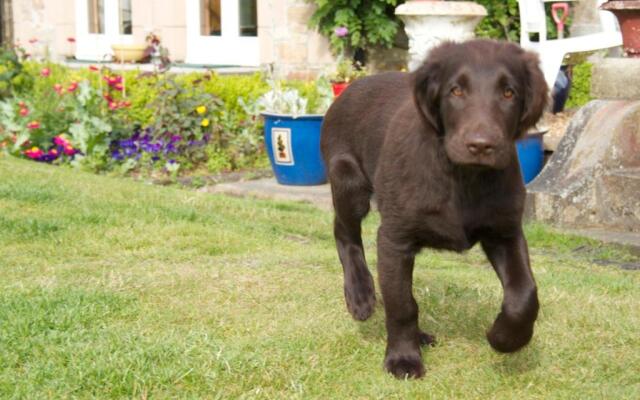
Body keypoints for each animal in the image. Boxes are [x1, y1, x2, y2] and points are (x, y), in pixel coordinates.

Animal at [322, 39, 548, 378]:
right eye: (456, 91)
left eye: (509, 93)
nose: (481, 145)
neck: (464, 177)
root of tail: (349, 87)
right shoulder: (394, 238)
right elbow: (402, 304)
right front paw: (403, 358)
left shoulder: (504, 232)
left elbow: (524, 295)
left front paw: (505, 337)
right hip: (349, 181)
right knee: (343, 232)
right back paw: (360, 294)